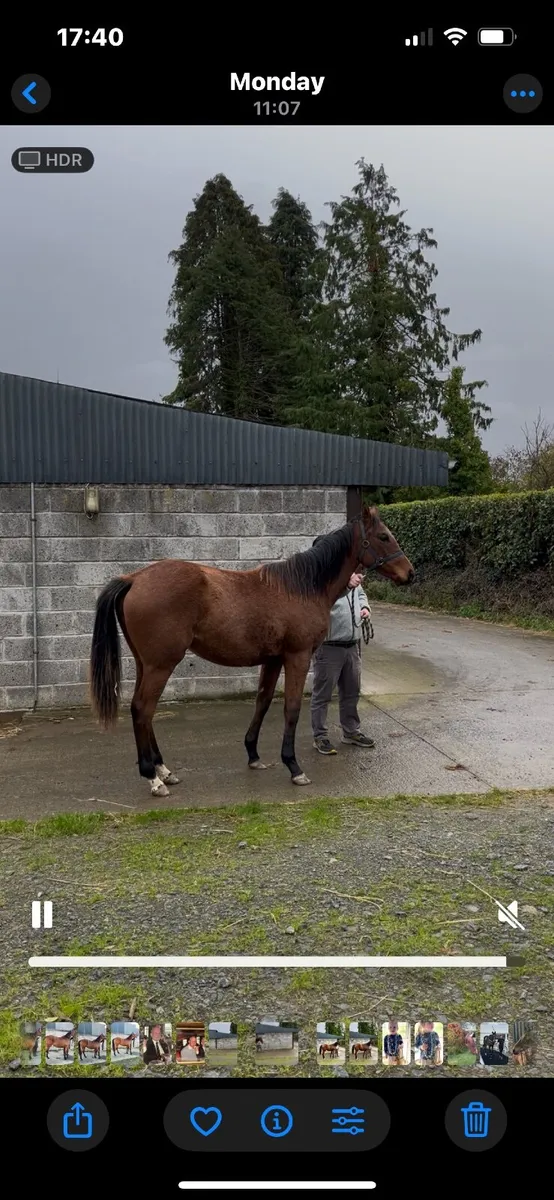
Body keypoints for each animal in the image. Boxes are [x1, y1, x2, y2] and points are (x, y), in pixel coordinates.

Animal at [89, 506, 413, 797]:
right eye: (384, 536)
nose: (409, 573)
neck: (302, 588)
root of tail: (134, 578)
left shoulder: (272, 660)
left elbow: (263, 702)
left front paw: (254, 755)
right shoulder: (297, 656)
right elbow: (291, 708)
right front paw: (294, 767)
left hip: (145, 663)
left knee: (143, 710)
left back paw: (163, 770)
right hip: (161, 665)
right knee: (143, 709)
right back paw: (153, 778)